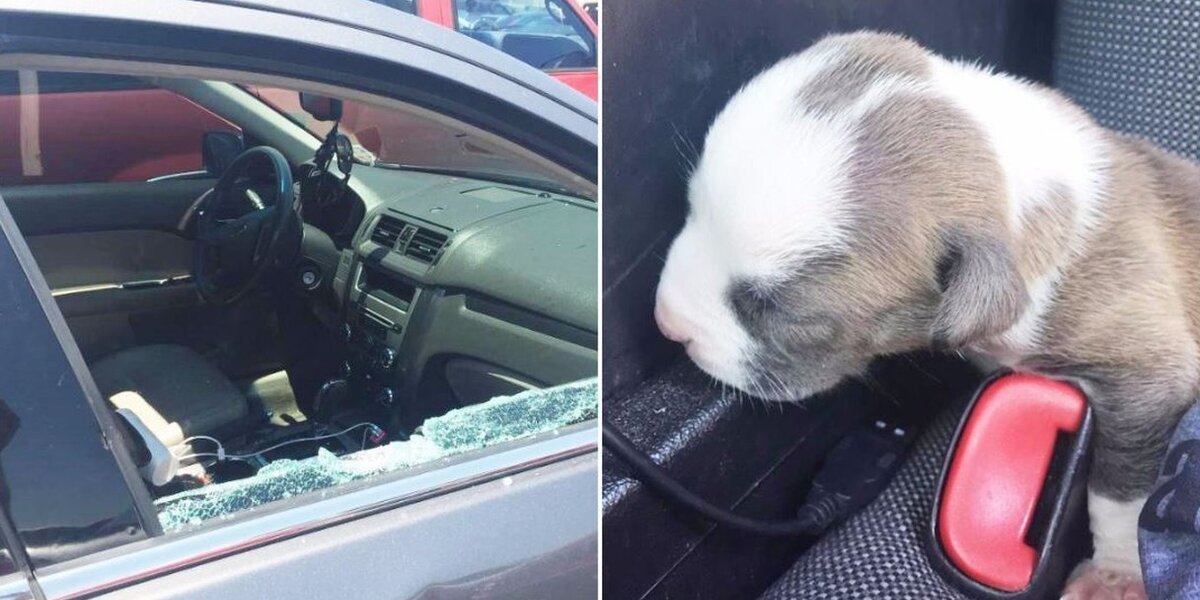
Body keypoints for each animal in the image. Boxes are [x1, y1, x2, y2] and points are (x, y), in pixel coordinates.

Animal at [652, 34, 1200, 600]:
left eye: (781, 314)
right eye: (689, 211)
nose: (666, 322)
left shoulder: (1145, 376)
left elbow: (1123, 489)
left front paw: (1117, 572)